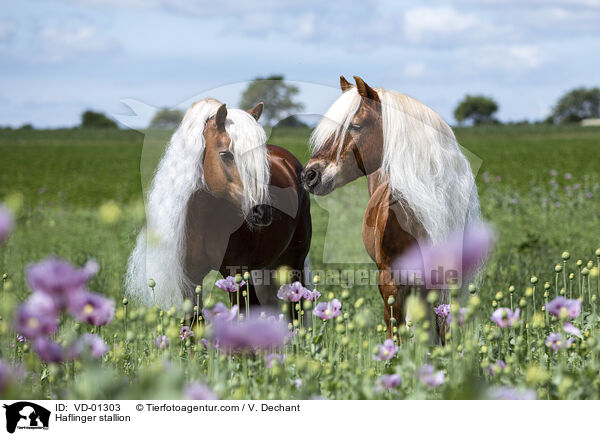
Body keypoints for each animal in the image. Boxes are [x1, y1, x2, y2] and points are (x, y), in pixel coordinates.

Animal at [127, 98, 314, 314]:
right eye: (225, 154)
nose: (263, 212)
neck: (205, 221)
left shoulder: (238, 275)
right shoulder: (190, 280)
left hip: (294, 262)